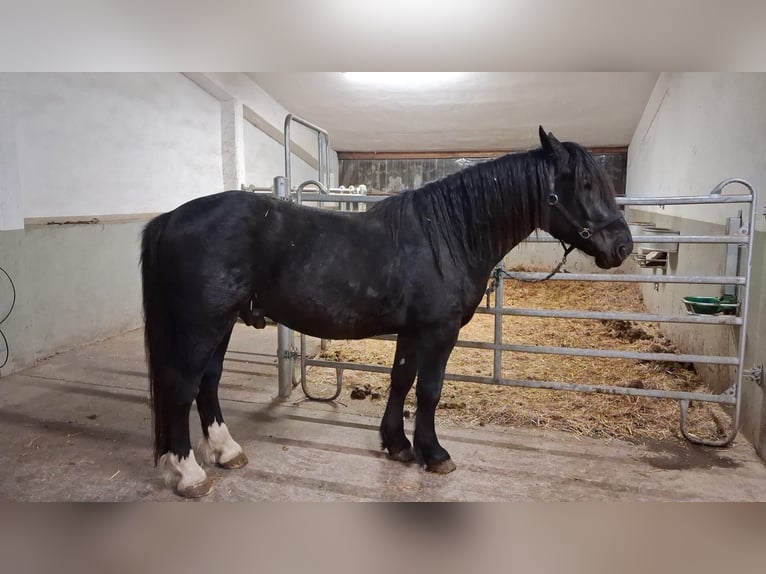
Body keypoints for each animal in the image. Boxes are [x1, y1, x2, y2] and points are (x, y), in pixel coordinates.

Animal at [140, 127, 633, 497]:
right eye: (585, 185)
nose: (623, 246)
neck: (446, 235)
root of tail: (170, 217)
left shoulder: (412, 332)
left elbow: (401, 380)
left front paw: (397, 444)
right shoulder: (439, 331)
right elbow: (430, 390)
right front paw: (435, 454)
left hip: (222, 323)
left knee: (207, 383)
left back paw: (226, 452)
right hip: (201, 325)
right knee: (182, 387)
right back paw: (189, 474)